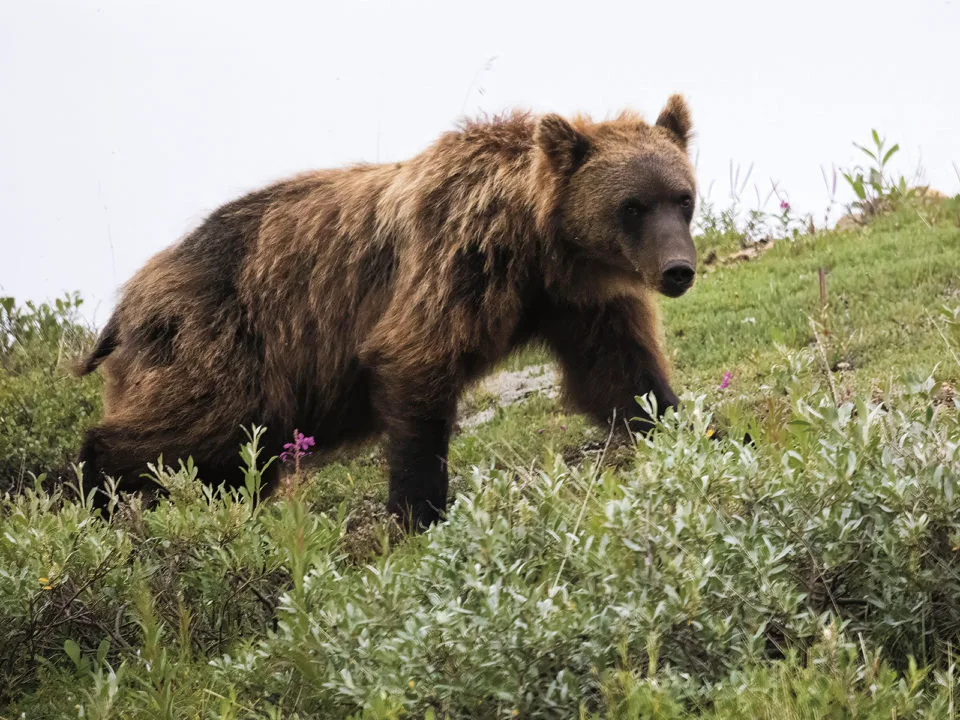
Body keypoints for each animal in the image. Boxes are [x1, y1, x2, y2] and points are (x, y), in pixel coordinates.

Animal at [75, 94, 699, 530]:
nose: (677, 269)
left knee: (226, 461)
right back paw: (94, 493)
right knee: (191, 425)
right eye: (632, 206)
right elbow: (415, 364)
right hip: (223, 338)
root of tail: (127, 302)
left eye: (682, 198)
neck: (538, 247)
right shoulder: (456, 261)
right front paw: (420, 512)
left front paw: (689, 431)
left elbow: (621, 377)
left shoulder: (575, 301)